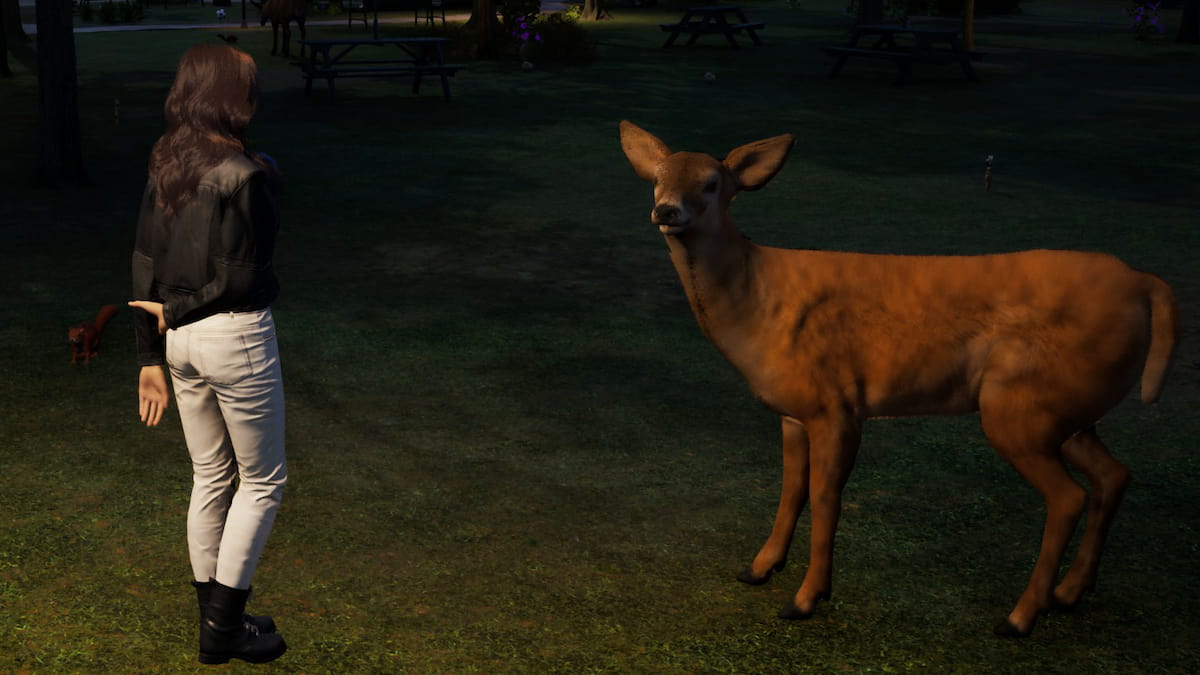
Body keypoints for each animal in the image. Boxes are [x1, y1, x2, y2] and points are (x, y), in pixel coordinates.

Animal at [618, 121, 1178, 638]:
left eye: (712, 183)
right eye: (657, 178)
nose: (666, 211)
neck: (757, 302)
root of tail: (1144, 283)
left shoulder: (837, 403)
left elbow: (825, 495)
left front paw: (806, 598)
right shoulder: (793, 411)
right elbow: (791, 488)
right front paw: (759, 568)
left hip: (1019, 406)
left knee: (1067, 497)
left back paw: (1019, 618)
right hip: (1065, 407)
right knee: (1112, 475)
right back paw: (1068, 593)